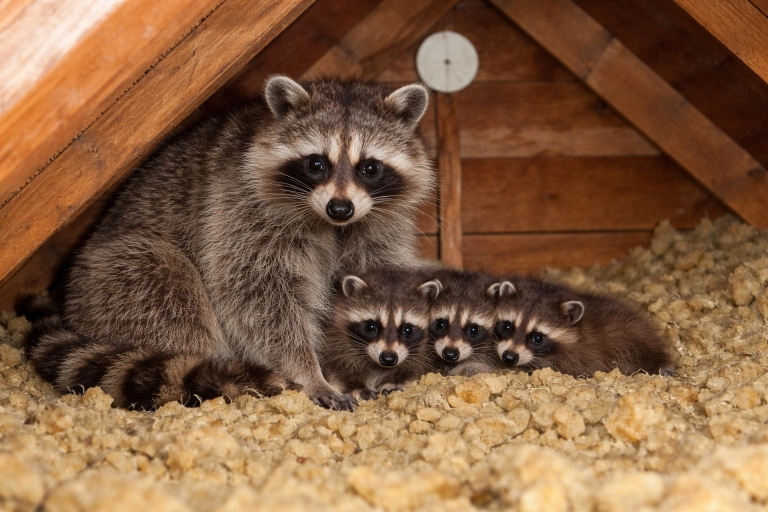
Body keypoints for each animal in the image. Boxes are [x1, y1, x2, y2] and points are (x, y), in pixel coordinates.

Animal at [322, 270, 438, 400]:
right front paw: (356, 386)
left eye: (408, 330)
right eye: (370, 327)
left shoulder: (426, 351)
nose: (388, 359)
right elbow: (338, 367)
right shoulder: (334, 335)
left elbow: (416, 367)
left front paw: (392, 381)